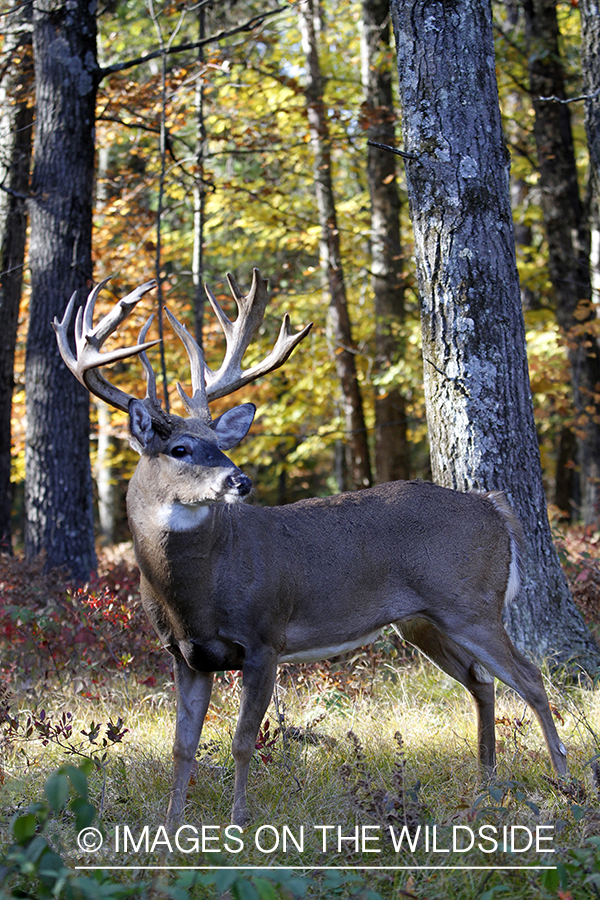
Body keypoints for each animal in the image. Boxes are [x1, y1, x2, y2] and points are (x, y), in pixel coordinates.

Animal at [52, 270, 568, 828]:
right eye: (180, 449)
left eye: (221, 444)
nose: (240, 480)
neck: (193, 593)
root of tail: (494, 505)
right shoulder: (187, 656)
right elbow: (182, 746)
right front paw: (171, 830)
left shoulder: (264, 639)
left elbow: (241, 740)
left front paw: (237, 823)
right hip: (421, 621)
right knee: (482, 682)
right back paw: (485, 787)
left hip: (469, 602)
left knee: (531, 678)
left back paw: (566, 785)